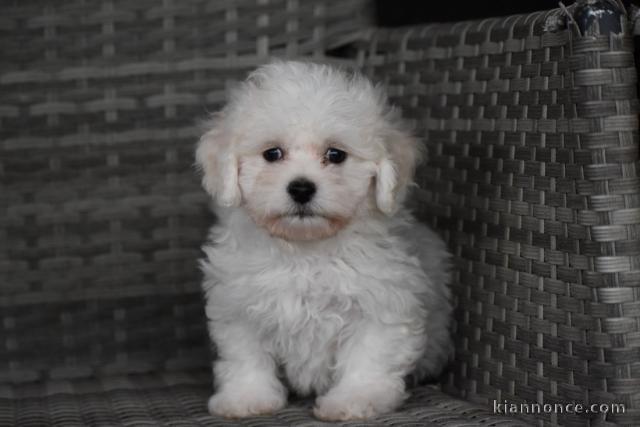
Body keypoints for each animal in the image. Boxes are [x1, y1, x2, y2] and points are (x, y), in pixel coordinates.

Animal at [195, 61, 450, 422]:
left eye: (336, 154)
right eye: (272, 153)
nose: (301, 188)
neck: (305, 251)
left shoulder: (381, 303)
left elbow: (369, 357)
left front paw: (355, 399)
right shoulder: (238, 303)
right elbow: (246, 355)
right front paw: (247, 397)